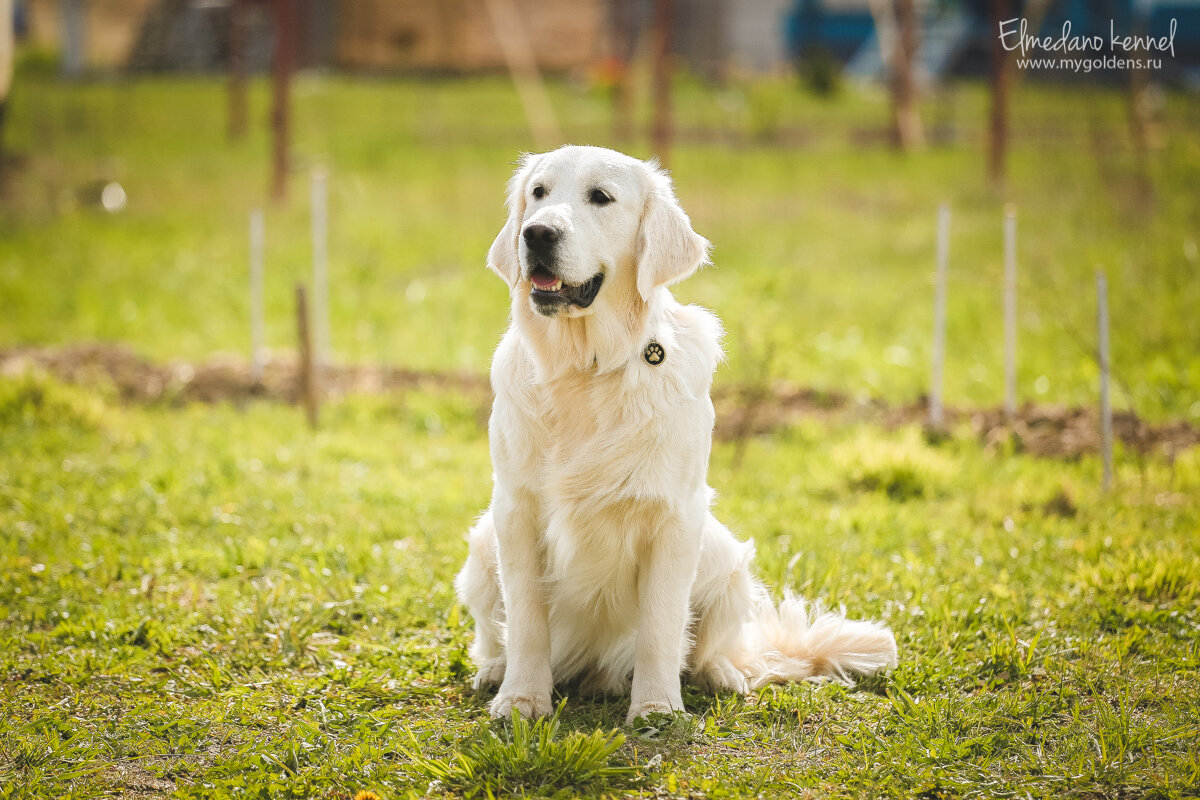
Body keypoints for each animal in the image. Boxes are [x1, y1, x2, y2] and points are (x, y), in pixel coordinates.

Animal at [453, 145, 897, 724]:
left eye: (601, 197)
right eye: (538, 193)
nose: (537, 233)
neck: (587, 370)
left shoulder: (675, 515)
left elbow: (661, 627)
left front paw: (656, 709)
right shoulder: (516, 509)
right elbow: (527, 621)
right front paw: (522, 700)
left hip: (726, 559)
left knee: (713, 647)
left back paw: (721, 674)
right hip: (483, 545)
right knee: (495, 634)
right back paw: (495, 670)